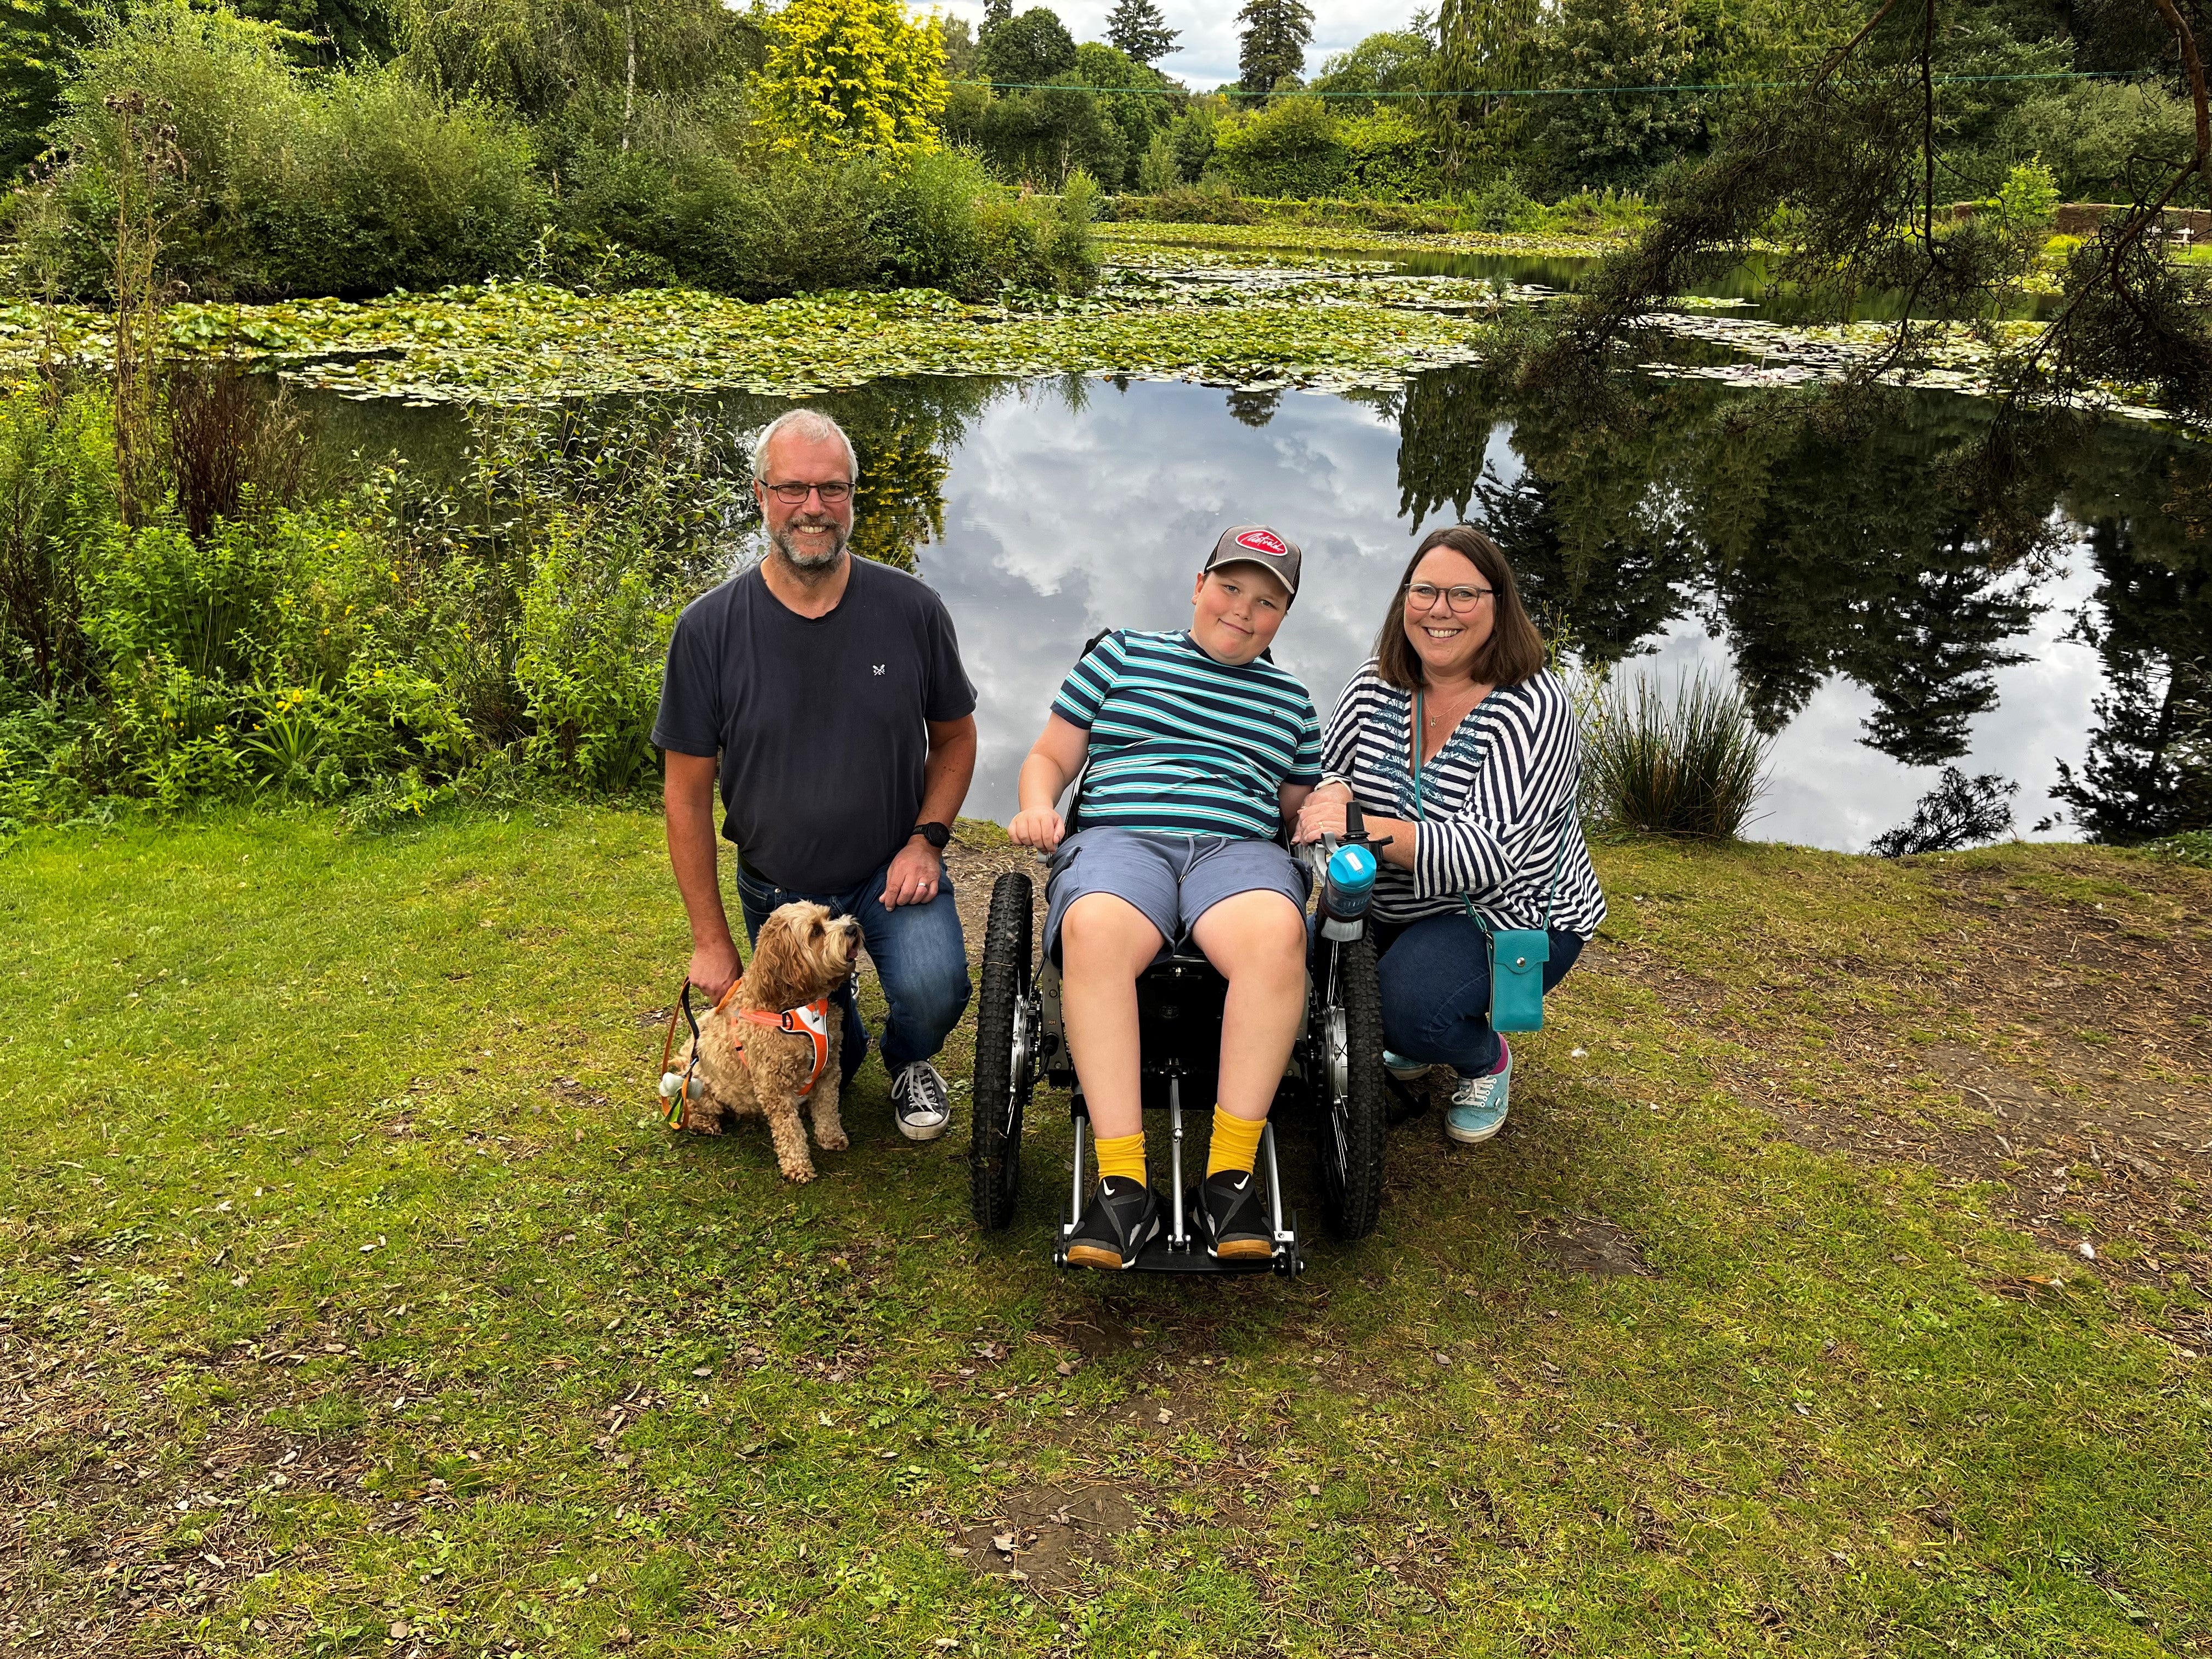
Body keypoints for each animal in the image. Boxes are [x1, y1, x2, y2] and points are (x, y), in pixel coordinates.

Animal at [668, 902, 858, 1186]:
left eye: (829, 917)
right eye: (815, 931)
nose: (853, 928)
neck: (794, 1010)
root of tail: (685, 1061)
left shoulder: (829, 1070)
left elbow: (827, 1109)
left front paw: (831, 1137)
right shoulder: (774, 1087)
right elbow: (790, 1131)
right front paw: (798, 1166)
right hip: (702, 1088)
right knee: (693, 1108)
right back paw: (704, 1123)